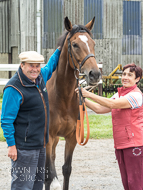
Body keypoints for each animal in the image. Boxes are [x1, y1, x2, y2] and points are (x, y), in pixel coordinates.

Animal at [45, 16, 101, 190]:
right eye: (75, 44)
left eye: (93, 43)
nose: (95, 74)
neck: (63, 97)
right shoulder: (48, 137)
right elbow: (48, 174)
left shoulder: (71, 137)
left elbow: (66, 169)